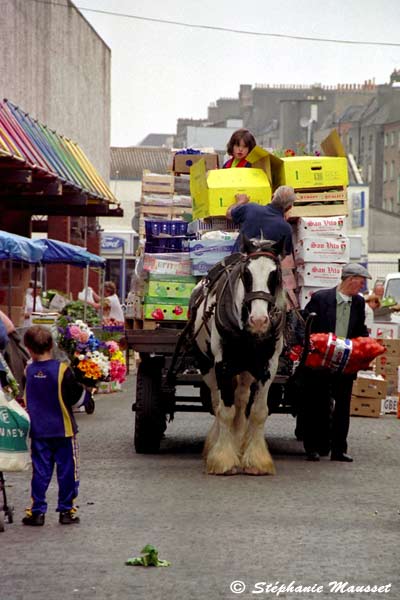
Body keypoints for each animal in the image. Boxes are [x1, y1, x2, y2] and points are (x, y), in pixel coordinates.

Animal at [188, 237, 286, 476]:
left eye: (275, 274)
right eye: (246, 273)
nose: (259, 321)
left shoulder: (268, 366)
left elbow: (258, 411)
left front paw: (257, 461)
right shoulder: (222, 365)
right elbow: (225, 411)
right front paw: (223, 458)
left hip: (246, 369)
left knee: (241, 399)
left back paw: (239, 441)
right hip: (208, 366)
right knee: (217, 402)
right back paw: (215, 445)